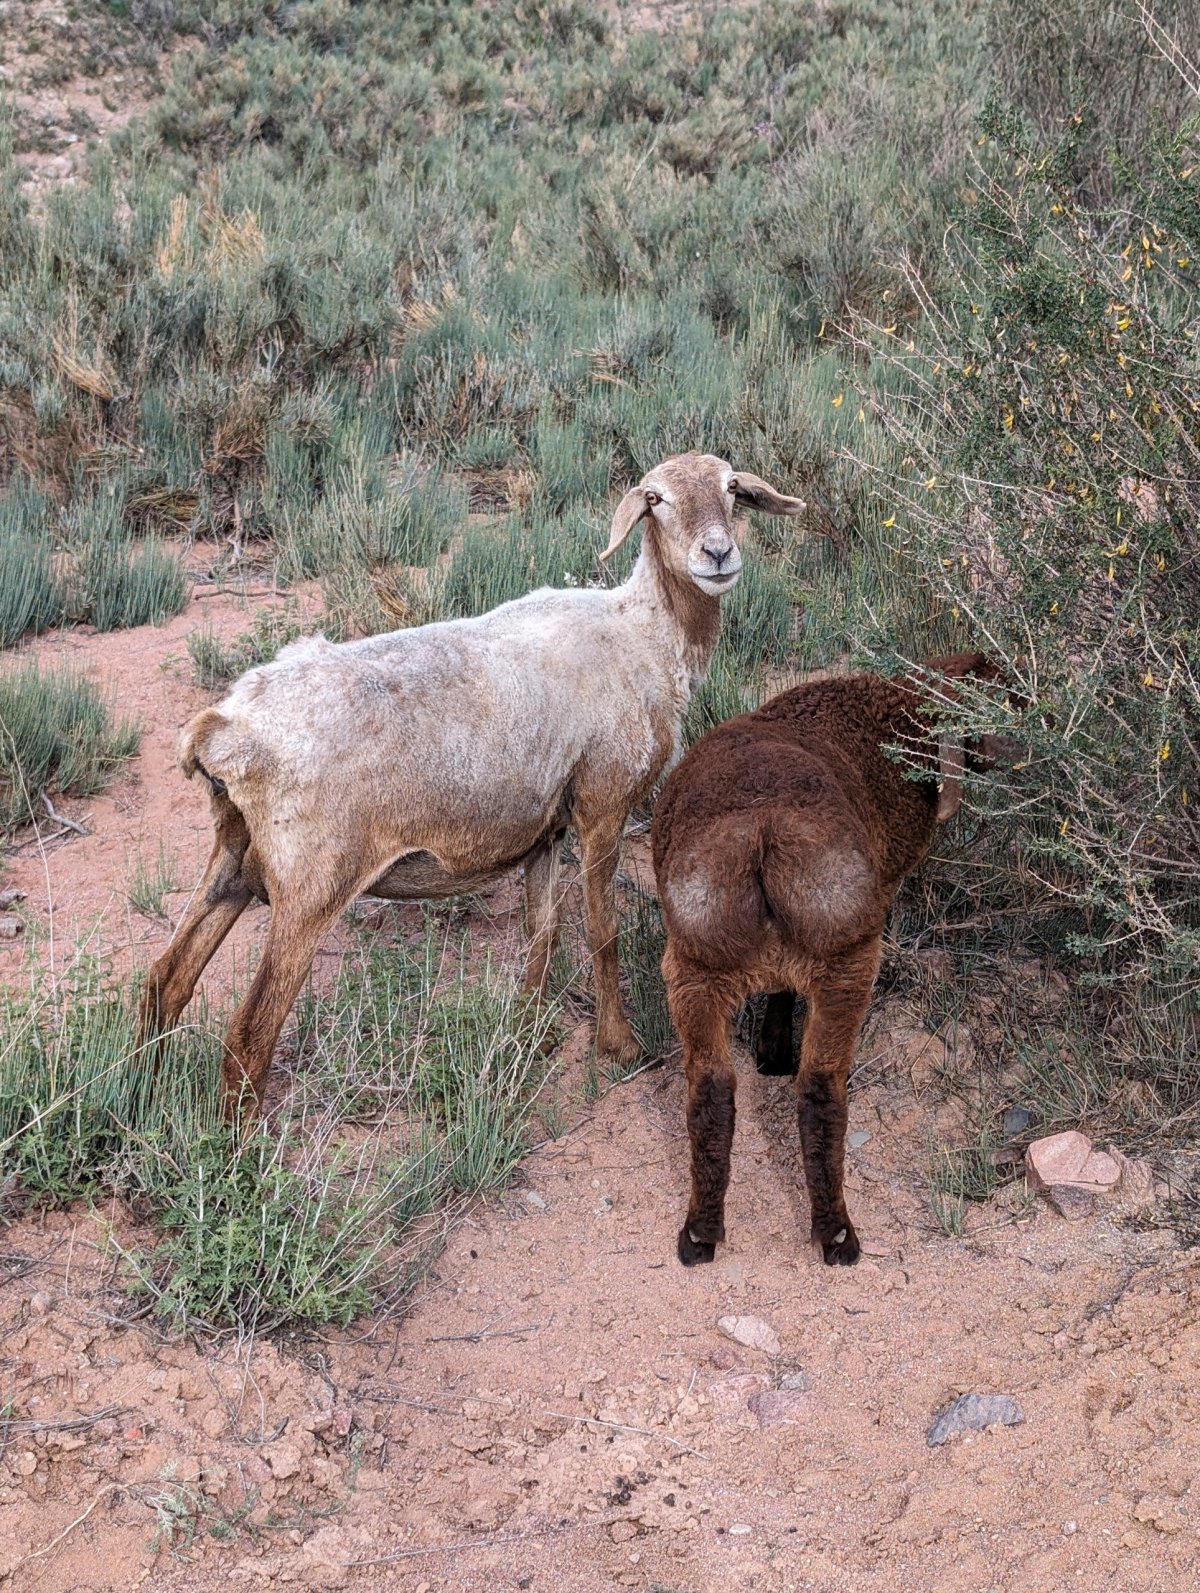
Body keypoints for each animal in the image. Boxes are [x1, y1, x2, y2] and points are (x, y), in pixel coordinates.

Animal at [145, 449, 809, 1115]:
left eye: (731, 488)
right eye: (655, 499)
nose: (717, 553)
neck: (643, 637)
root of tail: (223, 727)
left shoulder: (546, 827)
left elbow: (542, 936)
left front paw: (528, 1033)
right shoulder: (604, 801)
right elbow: (602, 931)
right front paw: (621, 1048)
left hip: (236, 855)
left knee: (164, 982)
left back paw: (145, 1095)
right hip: (311, 882)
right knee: (248, 1036)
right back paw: (236, 1136)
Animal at [650, 653, 1007, 1261]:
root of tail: (761, 837)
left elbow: (777, 992)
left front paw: (770, 1051)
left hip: (694, 964)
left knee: (710, 1089)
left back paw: (700, 1233)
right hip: (848, 961)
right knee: (820, 1089)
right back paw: (837, 1233)